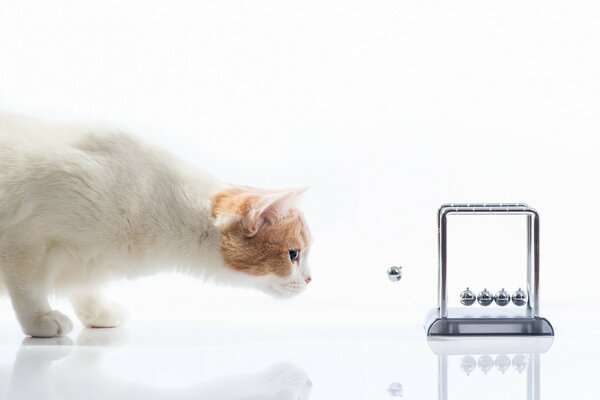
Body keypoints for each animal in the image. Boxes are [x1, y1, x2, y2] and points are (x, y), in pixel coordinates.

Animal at [1, 110, 314, 338]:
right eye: (294, 254)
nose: (311, 279)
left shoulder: (83, 258)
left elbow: (85, 291)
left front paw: (99, 315)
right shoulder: (24, 237)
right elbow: (29, 288)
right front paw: (39, 319)